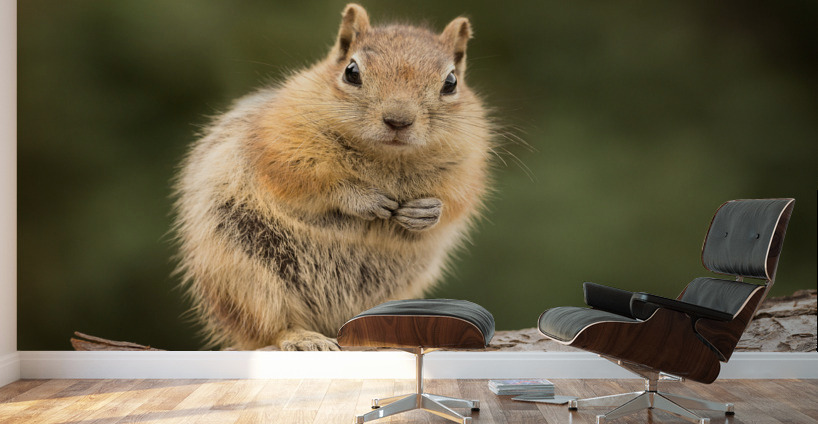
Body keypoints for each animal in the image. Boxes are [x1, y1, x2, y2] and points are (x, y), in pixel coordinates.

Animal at [172, 3, 493, 350]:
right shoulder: (280, 142)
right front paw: (361, 199)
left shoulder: (467, 163)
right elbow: (303, 178)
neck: (387, 158)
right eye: (351, 72)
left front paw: (426, 211)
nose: (398, 120)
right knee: (270, 324)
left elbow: (457, 200)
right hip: (243, 274)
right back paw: (303, 337)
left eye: (451, 82)